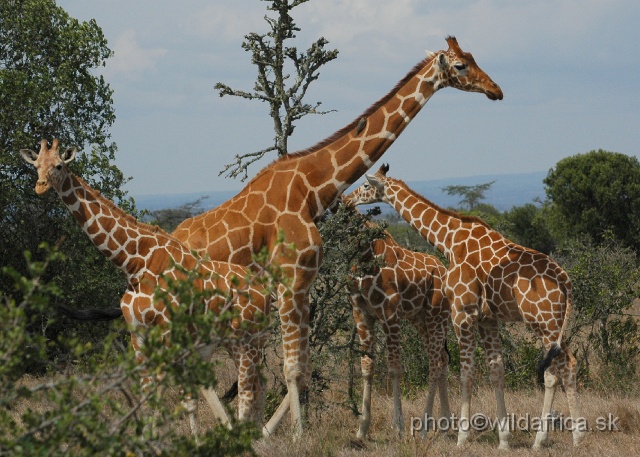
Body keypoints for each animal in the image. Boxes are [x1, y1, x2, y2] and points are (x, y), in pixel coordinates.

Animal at [20, 140, 274, 438]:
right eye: (36, 165)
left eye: (59, 165)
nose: (41, 186)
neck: (134, 264)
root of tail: (266, 290)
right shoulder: (137, 335)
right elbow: (147, 390)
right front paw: (145, 437)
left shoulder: (167, 332)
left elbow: (171, 392)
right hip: (239, 339)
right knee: (260, 383)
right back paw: (261, 435)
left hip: (248, 336)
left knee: (248, 389)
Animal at [172, 35, 502, 434]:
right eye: (460, 66)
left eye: (473, 57)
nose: (496, 90)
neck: (310, 190)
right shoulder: (289, 281)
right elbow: (292, 367)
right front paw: (296, 435)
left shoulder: (303, 283)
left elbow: (303, 366)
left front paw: (271, 431)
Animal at [344, 165, 584, 448]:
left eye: (366, 186)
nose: (348, 199)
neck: (448, 240)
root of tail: (566, 281)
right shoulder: (487, 319)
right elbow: (496, 370)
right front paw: (504, 439)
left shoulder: (463, 312)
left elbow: (466, 372)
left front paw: (462, 436)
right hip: (554, 323)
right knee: (566, 365)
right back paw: (570, 437)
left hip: (543, 321)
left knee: (557, 369)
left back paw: (550, 439)